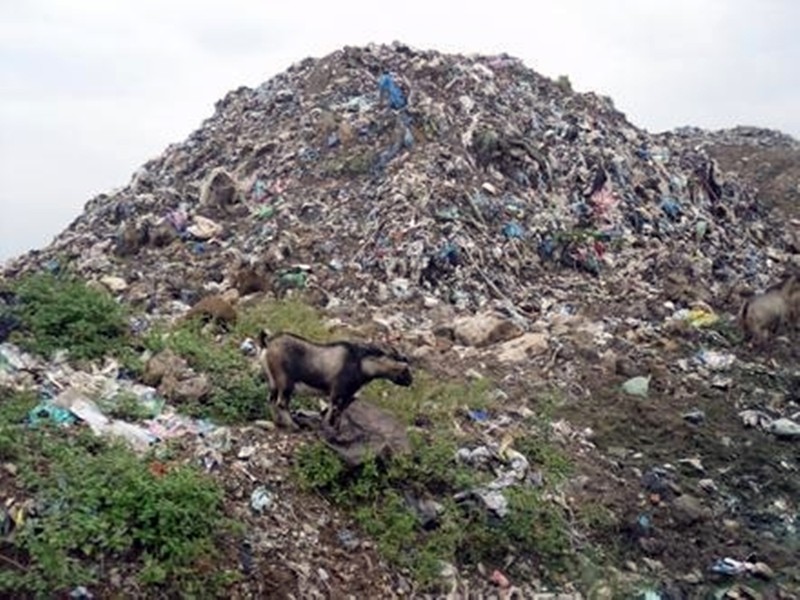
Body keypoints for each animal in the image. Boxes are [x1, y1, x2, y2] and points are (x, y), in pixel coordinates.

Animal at [258, 330, 412, 428]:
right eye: (405, 368)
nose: (410, 381)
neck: (361, 363)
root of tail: (267, 343)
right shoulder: (338, 390)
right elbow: (333, 409)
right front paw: (327, 427)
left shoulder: (347, 395)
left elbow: (339, 411)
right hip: (285, 382)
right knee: (281, 403)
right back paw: (293, 425)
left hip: (273, 381)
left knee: (271, 400)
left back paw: (277, 422)